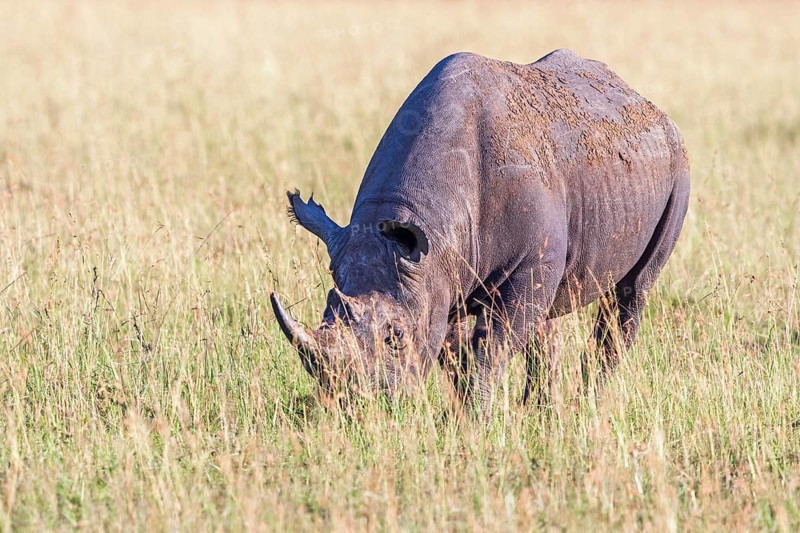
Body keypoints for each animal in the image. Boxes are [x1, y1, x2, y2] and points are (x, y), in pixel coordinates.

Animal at [270, 49, 690, 414]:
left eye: (396, 337)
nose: (353, 405)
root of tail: (645, 103)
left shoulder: (498, 264)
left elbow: (491, 348)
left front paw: (474, 420)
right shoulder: (437, 273)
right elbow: (454, 352)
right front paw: (461, 417)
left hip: (677, 167)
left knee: (631, 292)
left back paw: (585, 406)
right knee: (546, 317)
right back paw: (540, 413)